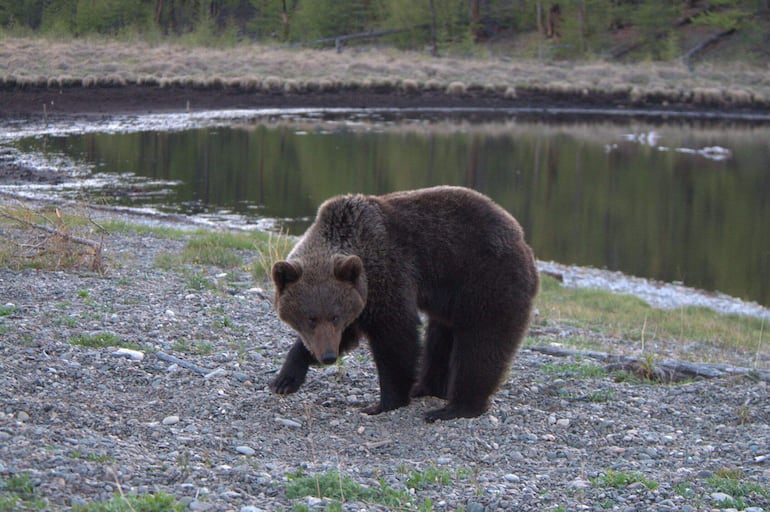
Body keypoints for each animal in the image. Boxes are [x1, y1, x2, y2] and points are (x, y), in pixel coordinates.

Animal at [269, 186, 539, 422]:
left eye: (335, 316)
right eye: (310, 318)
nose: (327, 356)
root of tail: (524, 242)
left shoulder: (388, 274)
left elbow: (396, 336)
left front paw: (385, 402)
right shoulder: (360, 298)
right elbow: (348, 335)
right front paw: (285, 378)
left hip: (487, 280)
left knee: (481, 345)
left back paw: (455, 407)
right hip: (454, 300)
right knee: (440, 339)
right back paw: (426, 387)